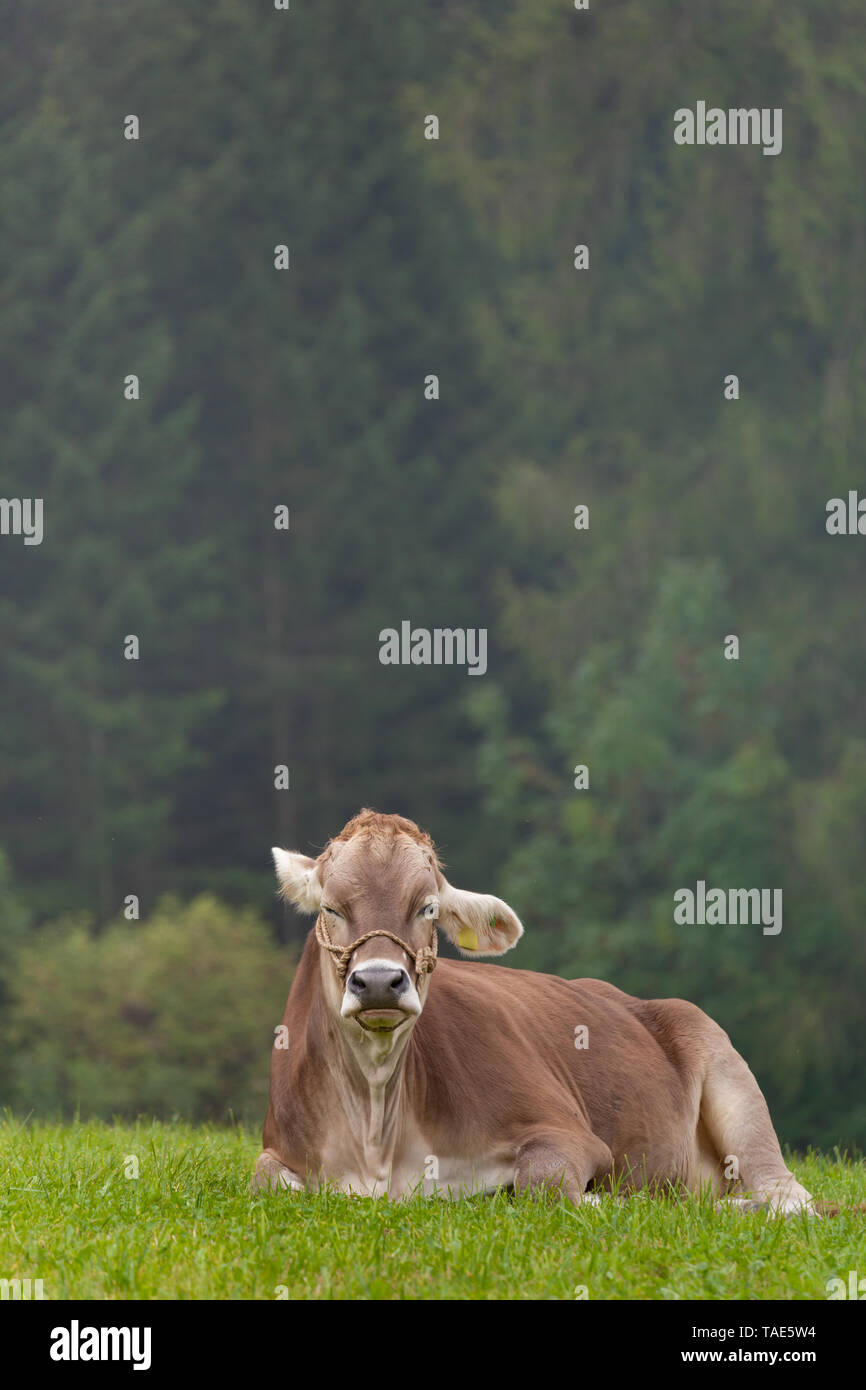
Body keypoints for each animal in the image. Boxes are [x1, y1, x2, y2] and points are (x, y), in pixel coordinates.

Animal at [252, 808, 814, 1213]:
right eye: (331, 907)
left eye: (427, 906)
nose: (377, 982)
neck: (377, 1135)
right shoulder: (278, 1148)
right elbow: (266, 1181)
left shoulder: (568, 1132)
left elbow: (542, 1184)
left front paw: (608, 1201)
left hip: (727, 1072)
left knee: (787, 1194)